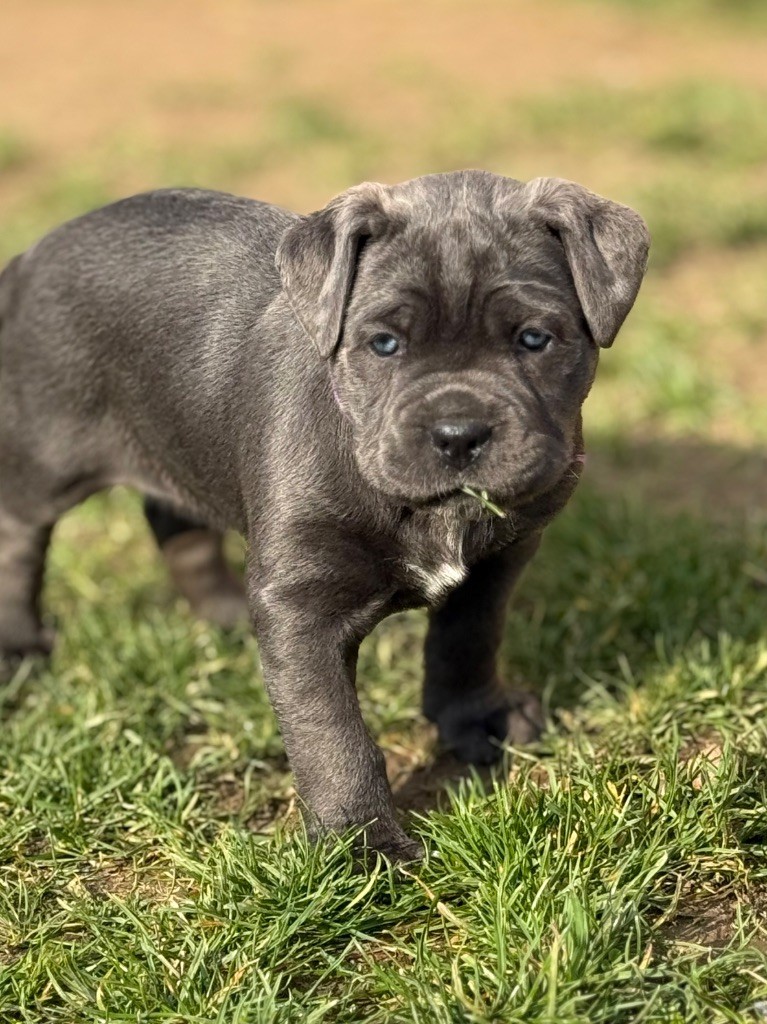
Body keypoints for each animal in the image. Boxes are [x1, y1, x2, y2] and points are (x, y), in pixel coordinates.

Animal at [0, 172, 647, 860]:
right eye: (384, 344)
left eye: (533, 339)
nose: (458, 433)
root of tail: (30, 257)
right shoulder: (302, 605)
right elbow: (333, 737)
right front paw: (365, 846)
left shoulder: (495, 566)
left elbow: (468, 641)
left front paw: (478, 721)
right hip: (44, 452)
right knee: (18, 537)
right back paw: (18, 652)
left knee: (177, 521)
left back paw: (226, 614)